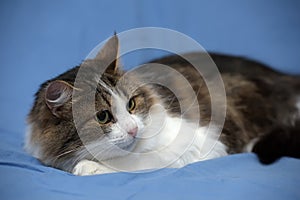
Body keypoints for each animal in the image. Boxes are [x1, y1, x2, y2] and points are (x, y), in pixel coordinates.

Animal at [24, 35, 300, 176]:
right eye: (103, 117)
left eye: (131, 104)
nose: (134, 130)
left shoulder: (195, 141)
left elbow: (133, 164)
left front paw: (89, 167)